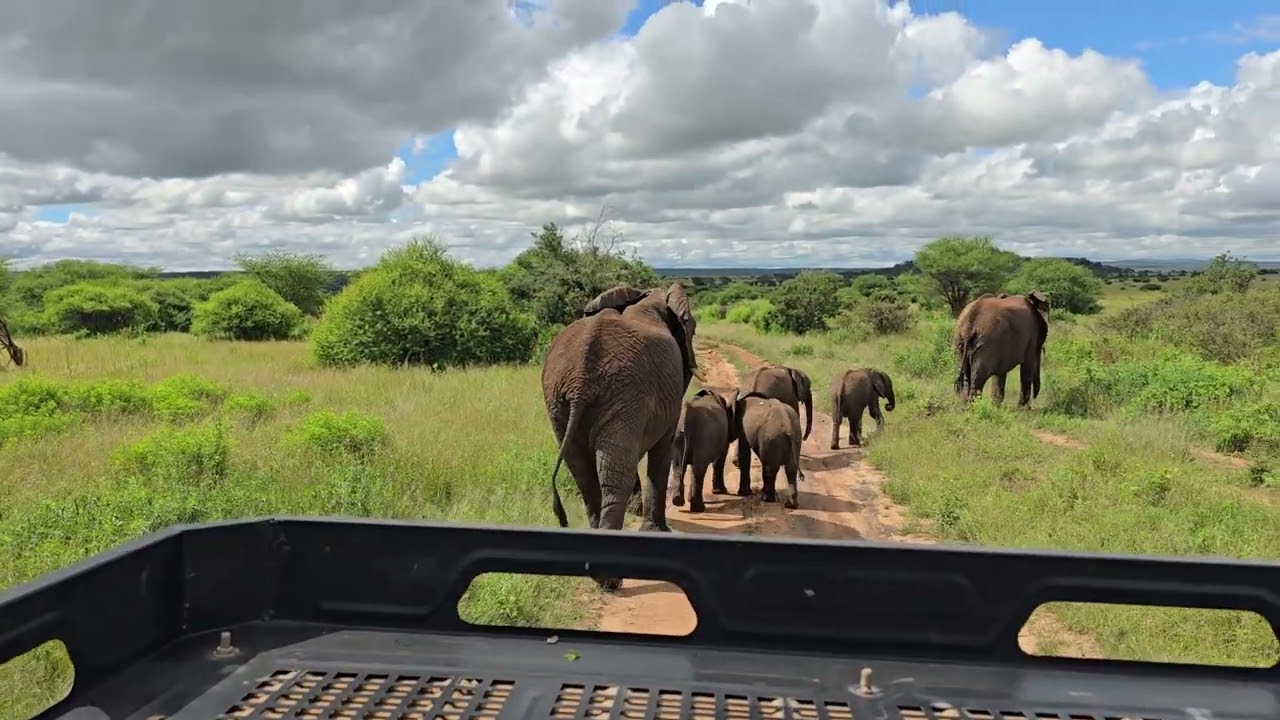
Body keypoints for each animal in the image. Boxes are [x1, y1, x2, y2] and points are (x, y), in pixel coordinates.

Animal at [541, 282, 708, 591]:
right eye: (692, 329)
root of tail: (580, 378)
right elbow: (662, 450)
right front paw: (657, 532)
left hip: (562, 401)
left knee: (586, 474)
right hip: (621, 392)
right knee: (614, 475)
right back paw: (611, 579)